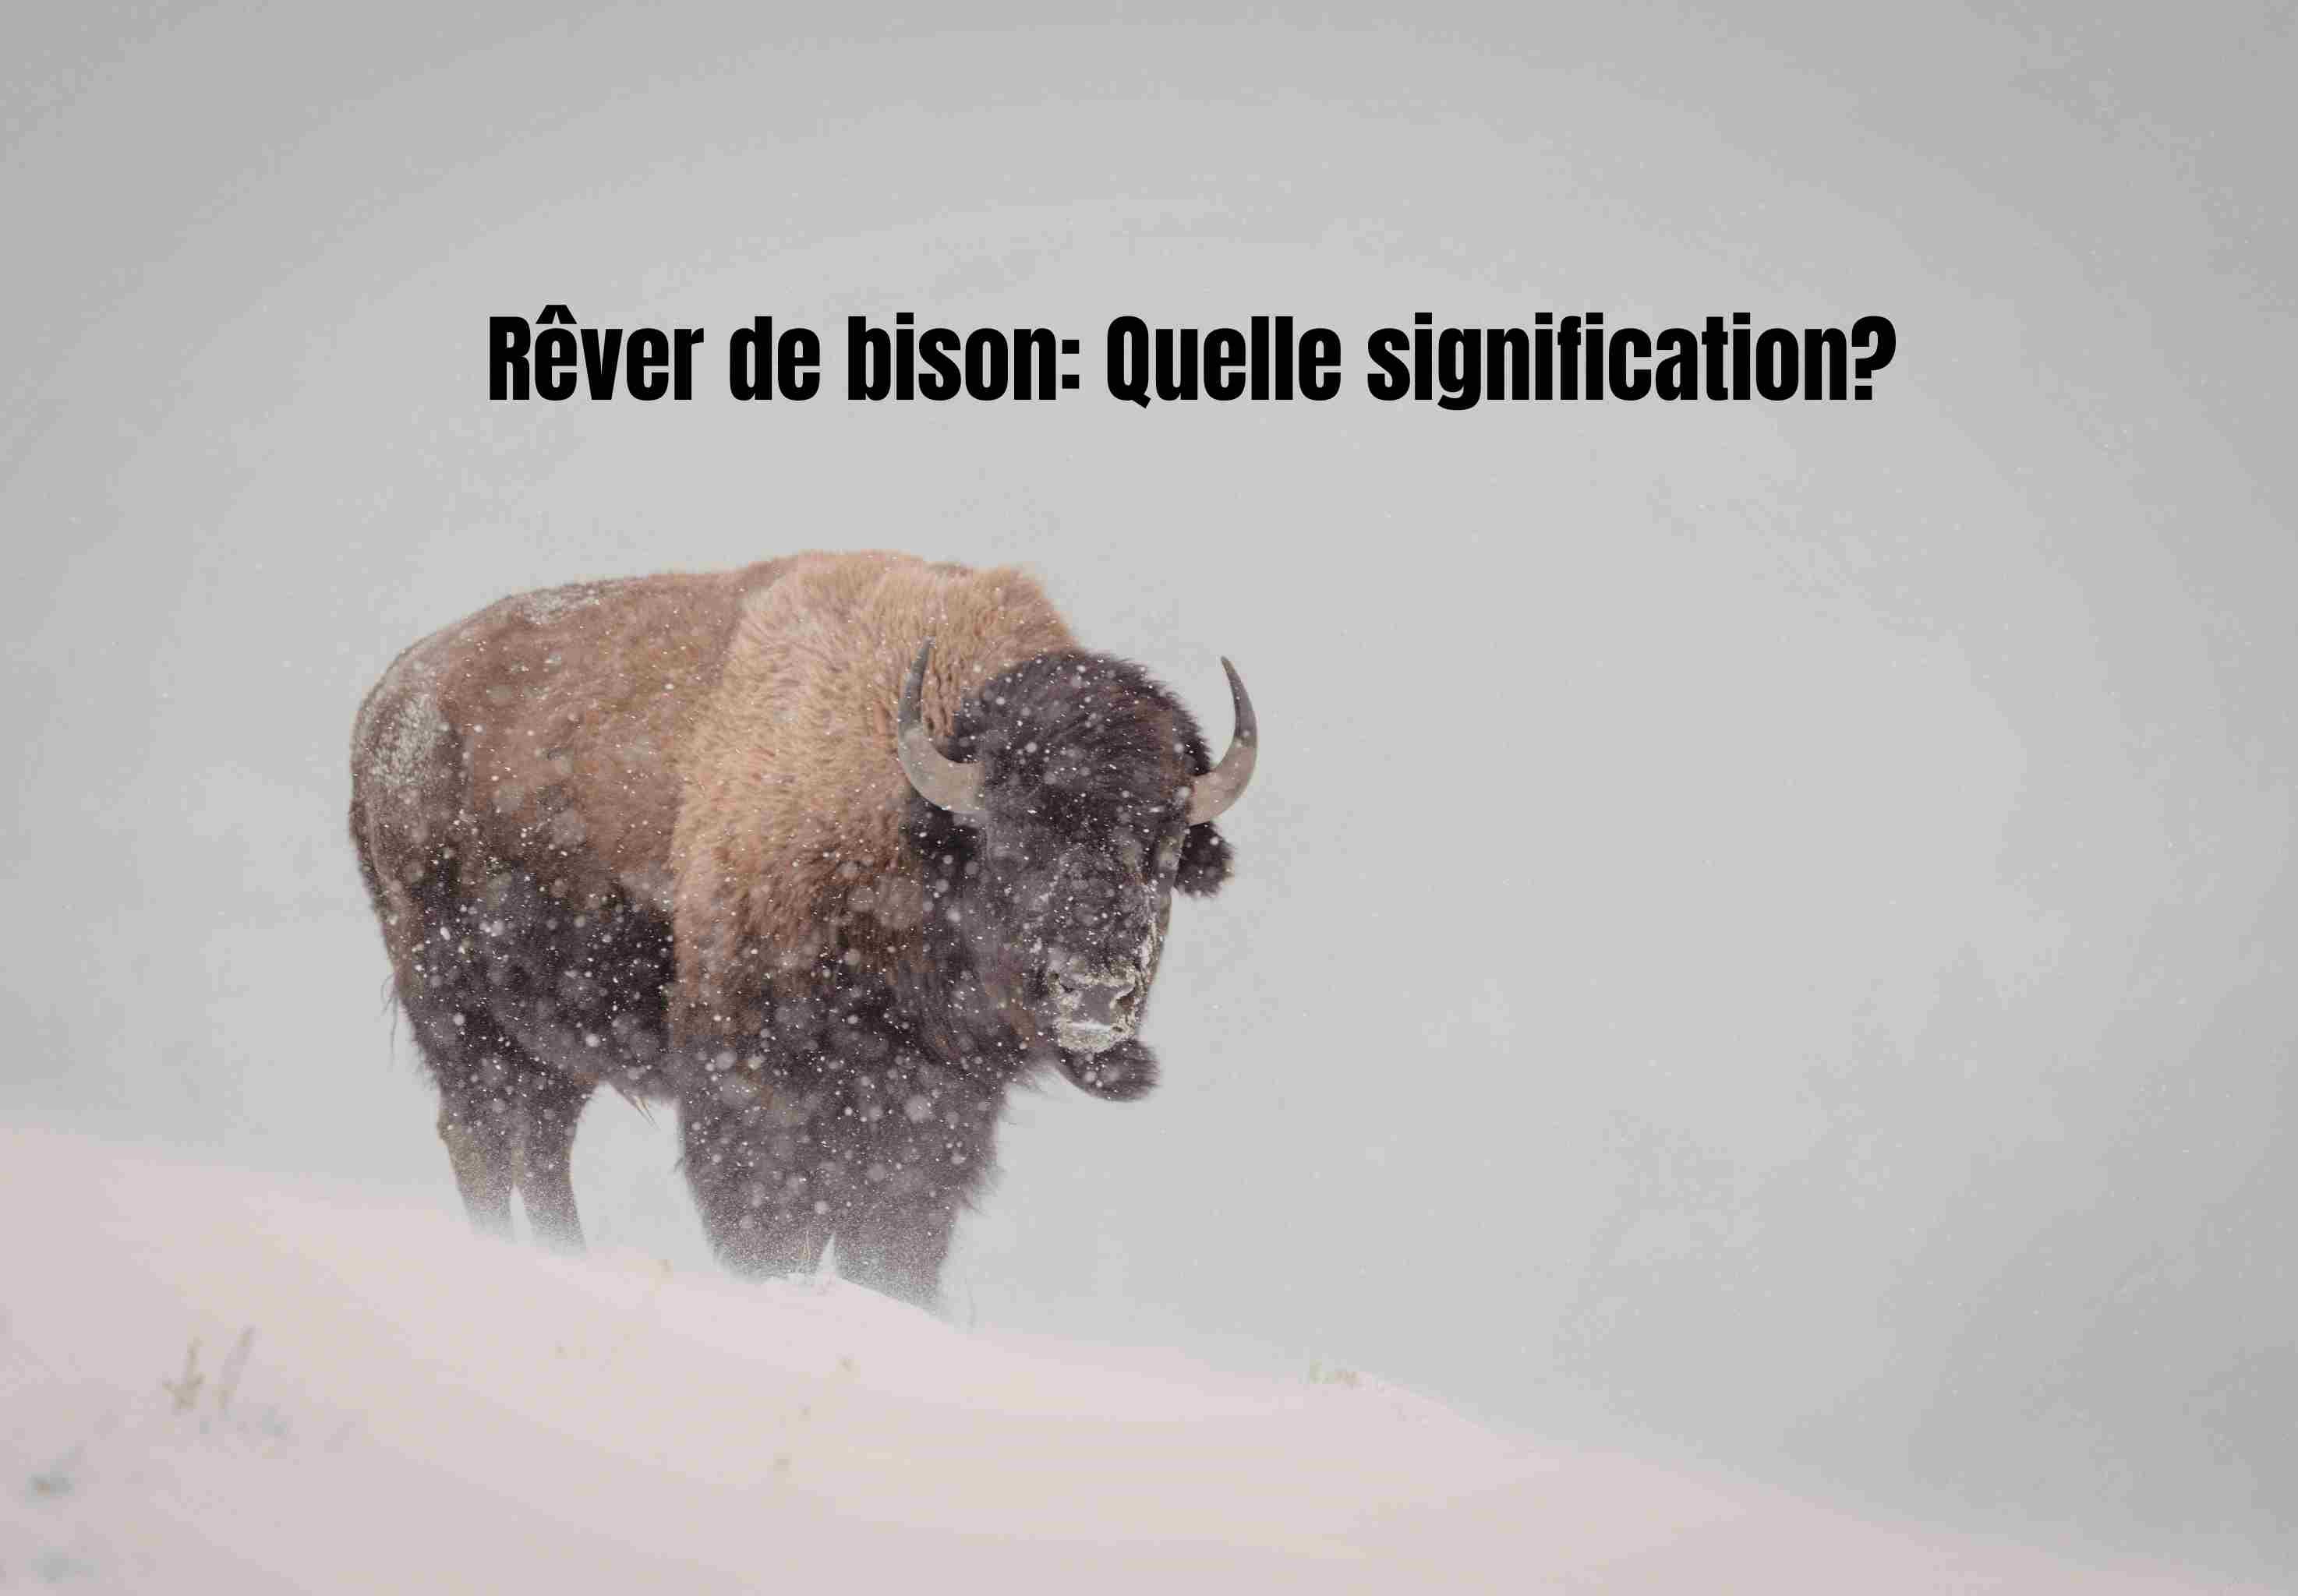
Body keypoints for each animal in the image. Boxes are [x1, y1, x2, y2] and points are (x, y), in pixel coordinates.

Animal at [348, 551, 1254, 1305]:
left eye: (1163, 845)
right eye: (1015, 835)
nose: (1096, 990)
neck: (899, 811)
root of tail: (391, 700)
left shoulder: (933, 1115)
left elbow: (891, 1243)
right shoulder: (754, 1089)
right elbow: (775, 1227)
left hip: (550, 1044)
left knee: (539, 1140)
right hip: (453, 1005)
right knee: (479, 1131)